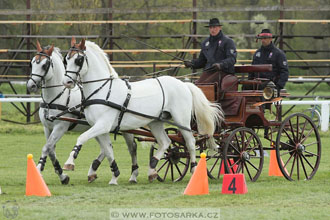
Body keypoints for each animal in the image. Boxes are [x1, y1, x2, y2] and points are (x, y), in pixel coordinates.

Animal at [26, 40, 139, 184]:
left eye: (45, 65)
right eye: (32, 63)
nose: (30, 85)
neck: (56, 97)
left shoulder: (61, 127)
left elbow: (47, 147)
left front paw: (40, 170)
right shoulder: (47, 128)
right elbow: (50, 150)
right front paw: (62, 176)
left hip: (125, 128)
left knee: (132, 147)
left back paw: (134, 175)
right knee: (106, 148)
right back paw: (93, 171)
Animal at [61, 37, 224, 184]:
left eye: (78, 60)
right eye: (66, 59)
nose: (67, 82)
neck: (103, 90)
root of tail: (184, 84)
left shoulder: (103, 125)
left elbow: (82, 138)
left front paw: (69, 163)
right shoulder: (100, 128)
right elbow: (107, 151)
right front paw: (114, 175)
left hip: (181, 120)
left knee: (190, 143)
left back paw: (194, 170)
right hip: (156, 122)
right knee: (165, 142)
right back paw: (152, 171)